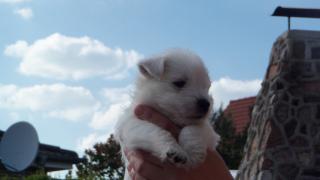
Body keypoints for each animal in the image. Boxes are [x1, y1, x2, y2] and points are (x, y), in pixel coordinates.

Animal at [115, 48, 220, 179]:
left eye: (207, 87)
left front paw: (193, 154)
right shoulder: (132, 126)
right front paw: (175, 150)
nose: (206, 104)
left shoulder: (208, 132)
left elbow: (191, 129)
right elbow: (155, 131)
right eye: (179, 83)